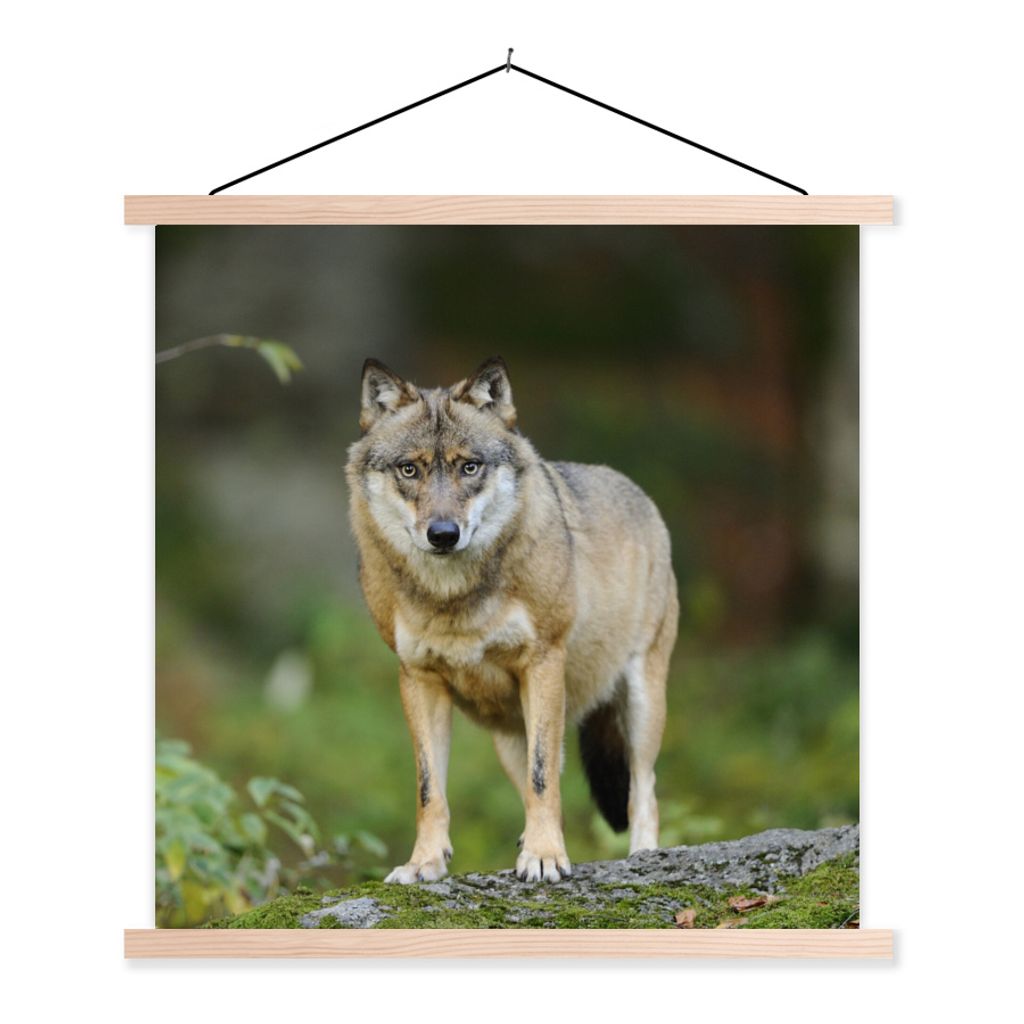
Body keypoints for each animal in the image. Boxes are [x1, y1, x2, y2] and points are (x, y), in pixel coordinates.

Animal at [345, 357, 678, 883]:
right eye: (409, 469)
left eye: (469, 466)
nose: (443, 534)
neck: (454, 600)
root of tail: (637, 491)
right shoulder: (418, 679)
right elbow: (430, 789)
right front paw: (424, 863)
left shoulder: (542, 662)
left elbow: (544, 781)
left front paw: (543, 858)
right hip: (508, 736)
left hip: (641, 703)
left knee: (642, 789)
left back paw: (641, 857)